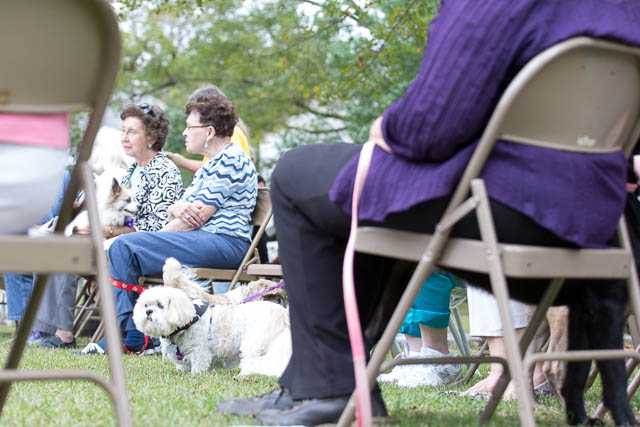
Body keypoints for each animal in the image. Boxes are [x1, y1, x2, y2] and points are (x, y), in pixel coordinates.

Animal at [133, 286, 292, 376]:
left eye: (160, 305)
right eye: (145, 305)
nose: (148, 311)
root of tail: (282, 313)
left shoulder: (199, 350)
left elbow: (198, 363)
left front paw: (196, 375)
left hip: (254, 342)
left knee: (251, 359)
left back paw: (246, 373)